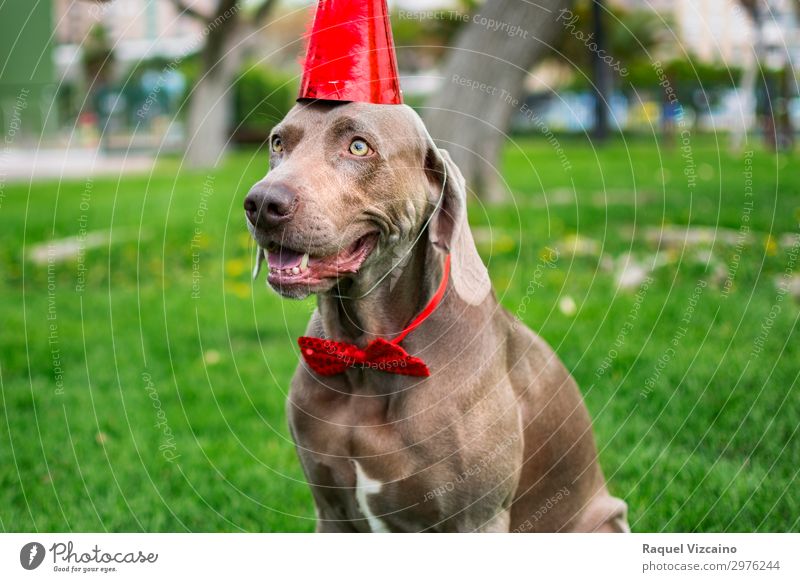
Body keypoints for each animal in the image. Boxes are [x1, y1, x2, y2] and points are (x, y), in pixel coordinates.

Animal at [245, 100, 632, 532]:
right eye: (278, 142)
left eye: (359, 147)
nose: (262, 204)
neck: (366, 358)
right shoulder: (331, 513)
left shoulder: (478, 518)